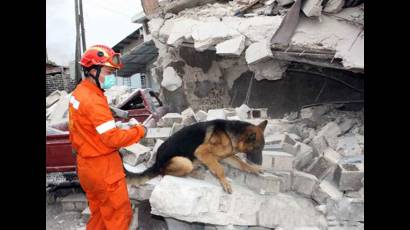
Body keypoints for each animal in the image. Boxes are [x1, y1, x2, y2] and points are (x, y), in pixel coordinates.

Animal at [129, 118, 270, 192]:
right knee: (165, 173)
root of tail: (157, 162)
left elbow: (242, 164)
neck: (230, 134)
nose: (260, 162)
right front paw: (224, 182)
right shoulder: (202, 151)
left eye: (262, 148)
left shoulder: (228, 156)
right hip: (184, 162)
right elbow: (220, 168)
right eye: (257, 149)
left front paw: (254, 169)